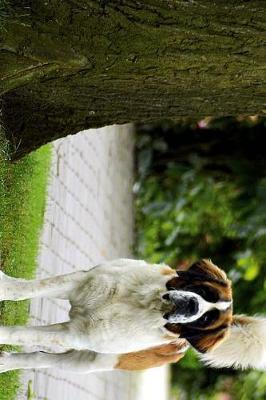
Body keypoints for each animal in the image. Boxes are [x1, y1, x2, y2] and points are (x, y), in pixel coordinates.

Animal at [0, 258, 264, 374]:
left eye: (205, 321)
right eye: (205, 292)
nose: (192, 305)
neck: (144, 303)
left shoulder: (75, 334)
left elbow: (22, 334)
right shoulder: (79, 282)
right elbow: (25, 289)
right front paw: (5, 286)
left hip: (89, 362)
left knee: (40, 358)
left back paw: (8, 363)